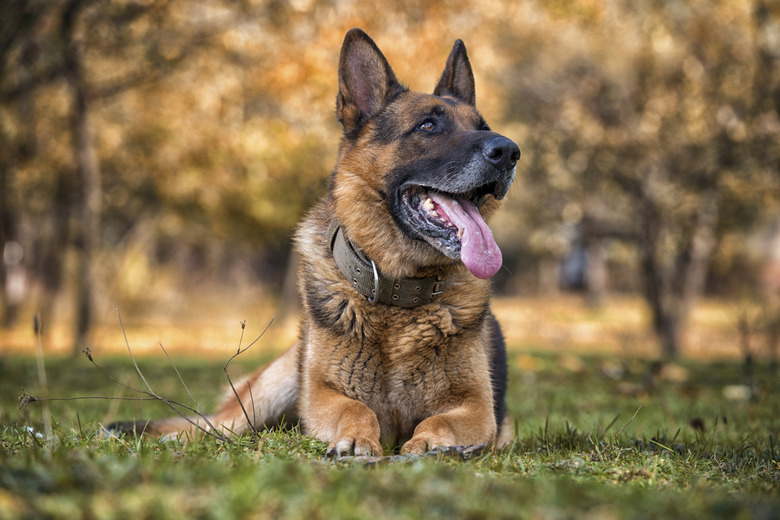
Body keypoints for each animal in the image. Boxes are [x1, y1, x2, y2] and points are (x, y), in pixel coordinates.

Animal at [112, 28, 516, 456]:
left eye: (482, 125)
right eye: (427, 126)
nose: (509, 151)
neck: (396, 297)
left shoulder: (477, 409)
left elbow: (440, 420)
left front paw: (427, 444)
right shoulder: (322, 394)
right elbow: (357, 409)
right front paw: (356, 439)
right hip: (266, 394)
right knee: (211, 425)